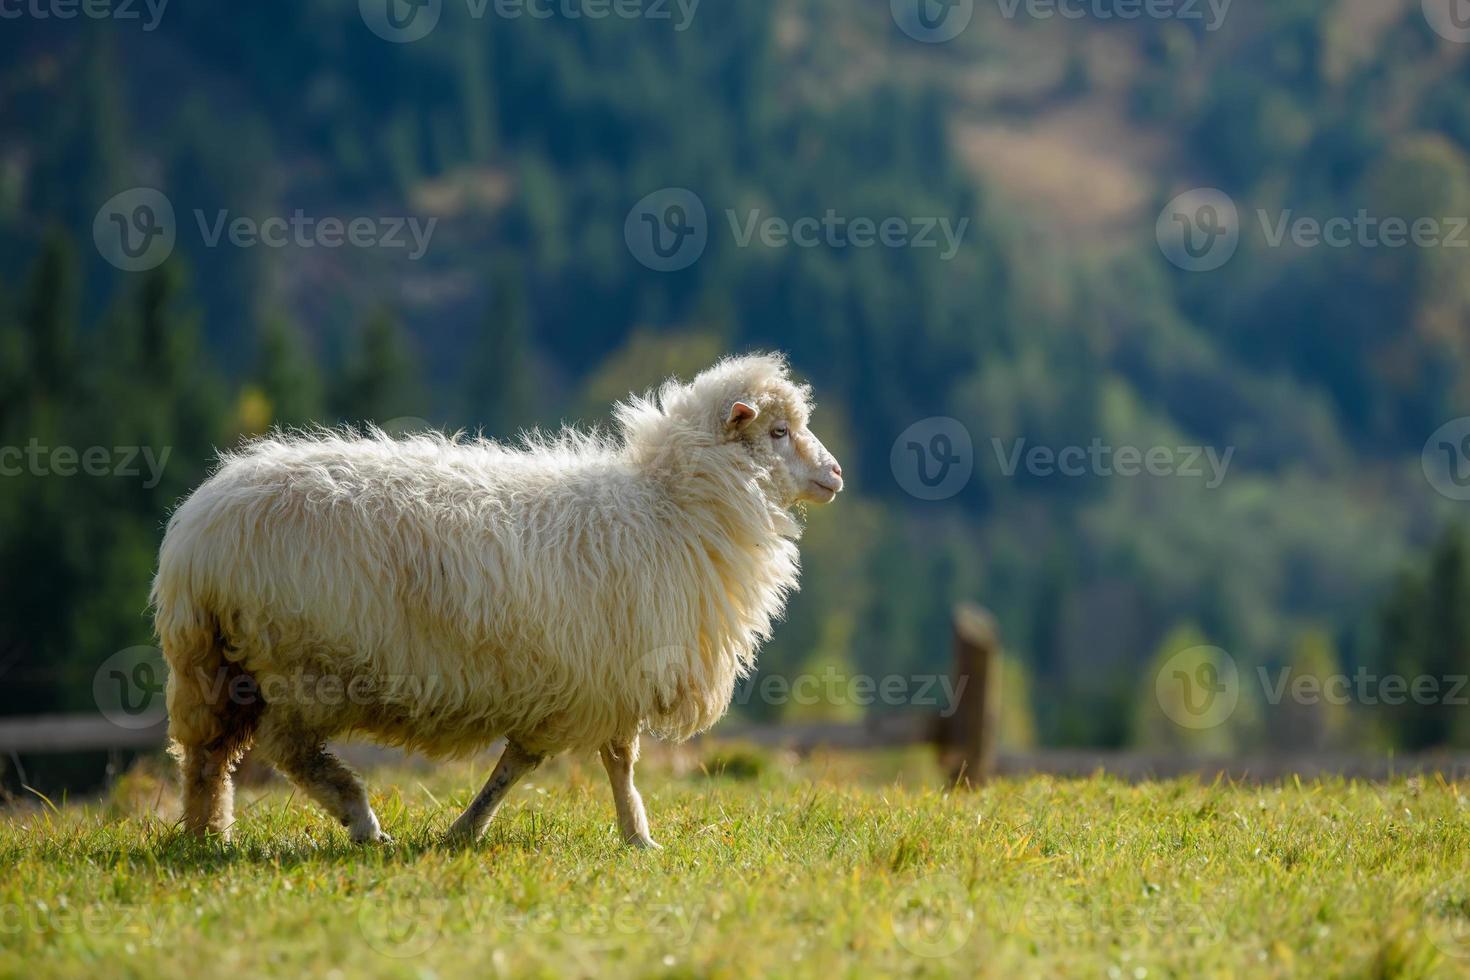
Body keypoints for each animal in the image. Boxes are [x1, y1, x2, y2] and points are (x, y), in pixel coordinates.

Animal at [150, 354, 846, 852]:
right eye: (779, 431)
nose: (836, 475)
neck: (673, 505)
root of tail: (199, 531)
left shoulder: (586, 678)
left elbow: (533, 761)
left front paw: (473, 828)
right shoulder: (612, 672)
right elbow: (611, 761)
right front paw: (639, 837)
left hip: (215, 662)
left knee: (206, 756)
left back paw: (206, 838)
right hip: (301, 663)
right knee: (286, 748)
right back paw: (362, 821)